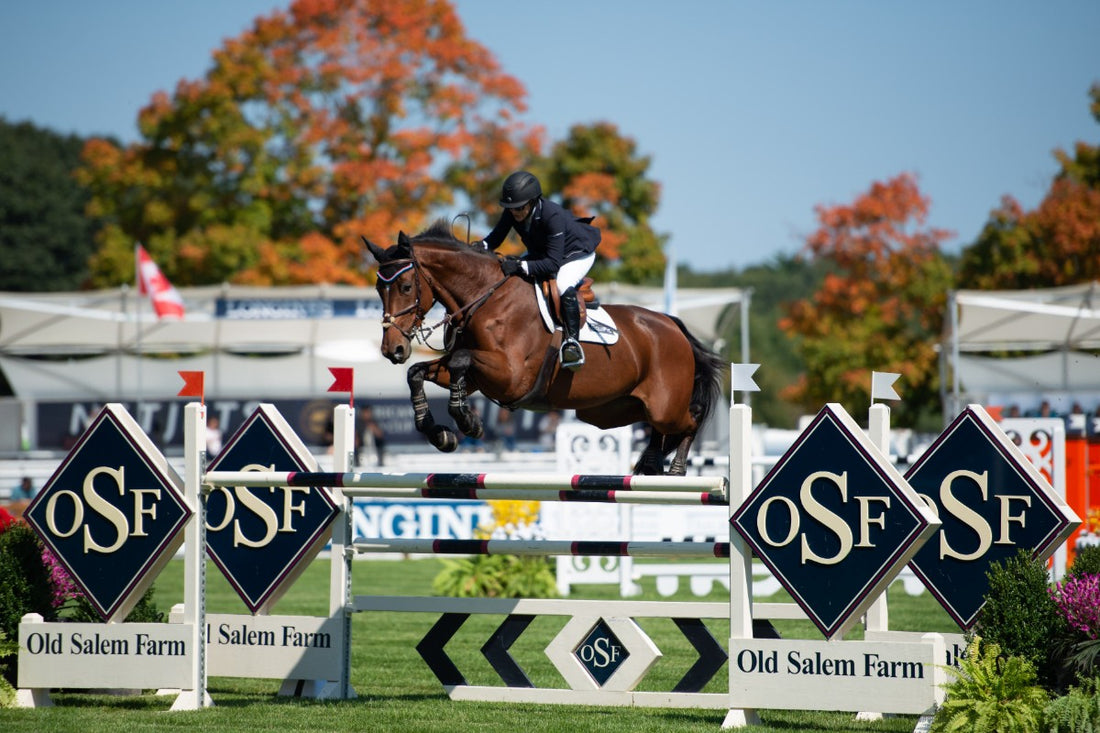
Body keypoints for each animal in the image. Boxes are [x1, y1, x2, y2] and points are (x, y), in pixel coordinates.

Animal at [360, 221, 721, 473]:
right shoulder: (479, 376)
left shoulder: (510, 376)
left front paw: (468, 422)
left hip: (664, 407)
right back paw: (652, 464)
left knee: (690, 421)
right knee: (659, 431)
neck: (485, 299)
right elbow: (418, 373)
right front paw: (439, 433)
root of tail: (673, 326)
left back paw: (675, 469)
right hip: (617, 409)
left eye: (406, 287)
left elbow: (461, 359)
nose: (392, 350)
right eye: (378, 288)